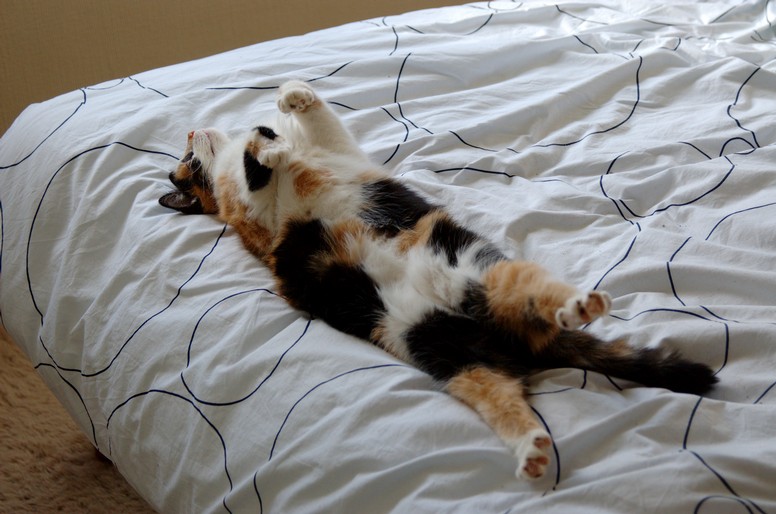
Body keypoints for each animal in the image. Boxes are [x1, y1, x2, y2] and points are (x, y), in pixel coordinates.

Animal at [159, 80, 717, 481]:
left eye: (183, 161)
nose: (189, 134)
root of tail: (504, 336)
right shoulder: (255, 216)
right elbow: (255, 165)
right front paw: (265, 147)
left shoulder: (330, 146)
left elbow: (310, 115)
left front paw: (285, 104)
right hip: (443, 351)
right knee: (504, 393)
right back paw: (533, 448)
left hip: (478, 271)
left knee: (540, 300)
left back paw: (576, 307)